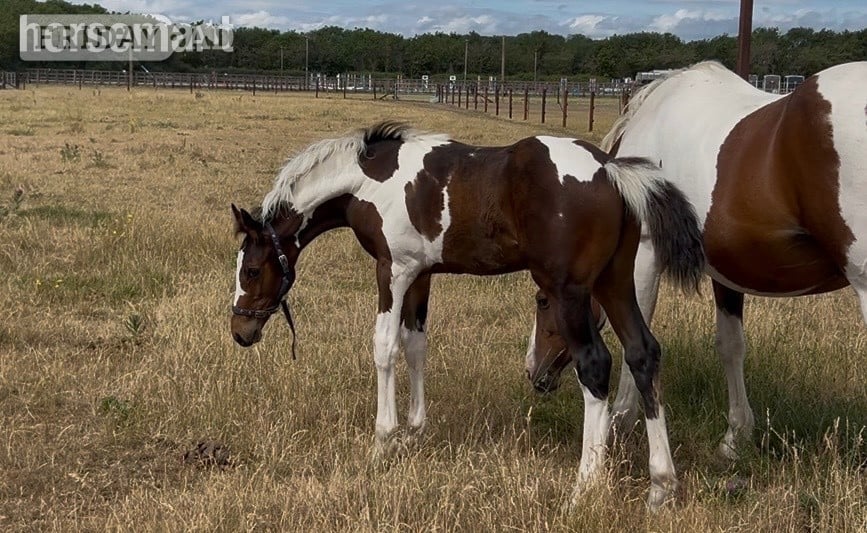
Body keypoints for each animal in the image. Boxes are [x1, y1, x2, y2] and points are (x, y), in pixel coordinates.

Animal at [229, 121, 705, 508]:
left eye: (250, 270)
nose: (240, 330)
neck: (371, 181)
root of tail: (611, 170)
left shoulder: (392, 270)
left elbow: (385, 347)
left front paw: (383, 442)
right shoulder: (420, 273)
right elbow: (415, 345)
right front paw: (414, 432)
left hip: (570, 292)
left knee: (595, 364)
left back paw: (584, 488)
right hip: (615, 282)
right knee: (642, 353)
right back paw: (661, 486)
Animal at [525, 60, 867, 461]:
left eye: (542, 301)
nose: (534, 371)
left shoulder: (644, 256)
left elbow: (634, 338)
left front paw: (619, 425)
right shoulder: (727, 274)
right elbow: (731, 346)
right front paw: (735, 438)